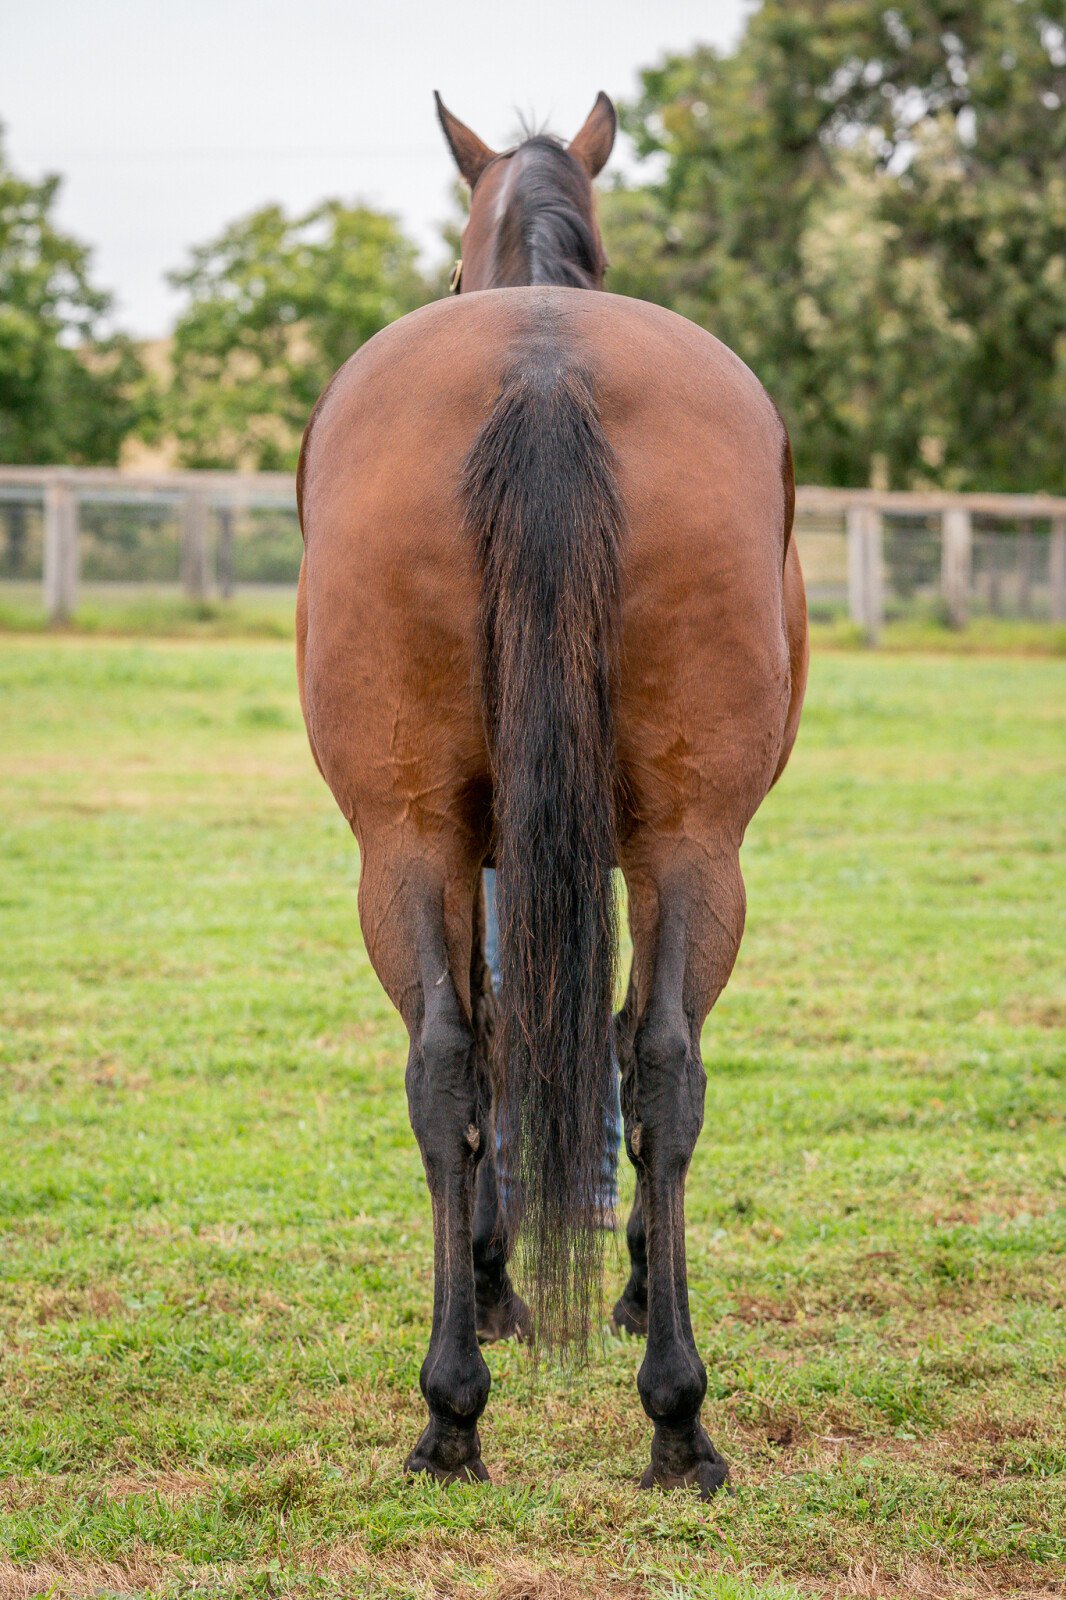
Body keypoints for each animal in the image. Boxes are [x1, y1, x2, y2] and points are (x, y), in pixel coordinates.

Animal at [295, 90, 808, 1498]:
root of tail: (541, 367)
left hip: (416, 837)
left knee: (465, 1063)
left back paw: (468, 1404)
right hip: (679, 838)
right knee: (642, 1063)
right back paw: (659, 1412)